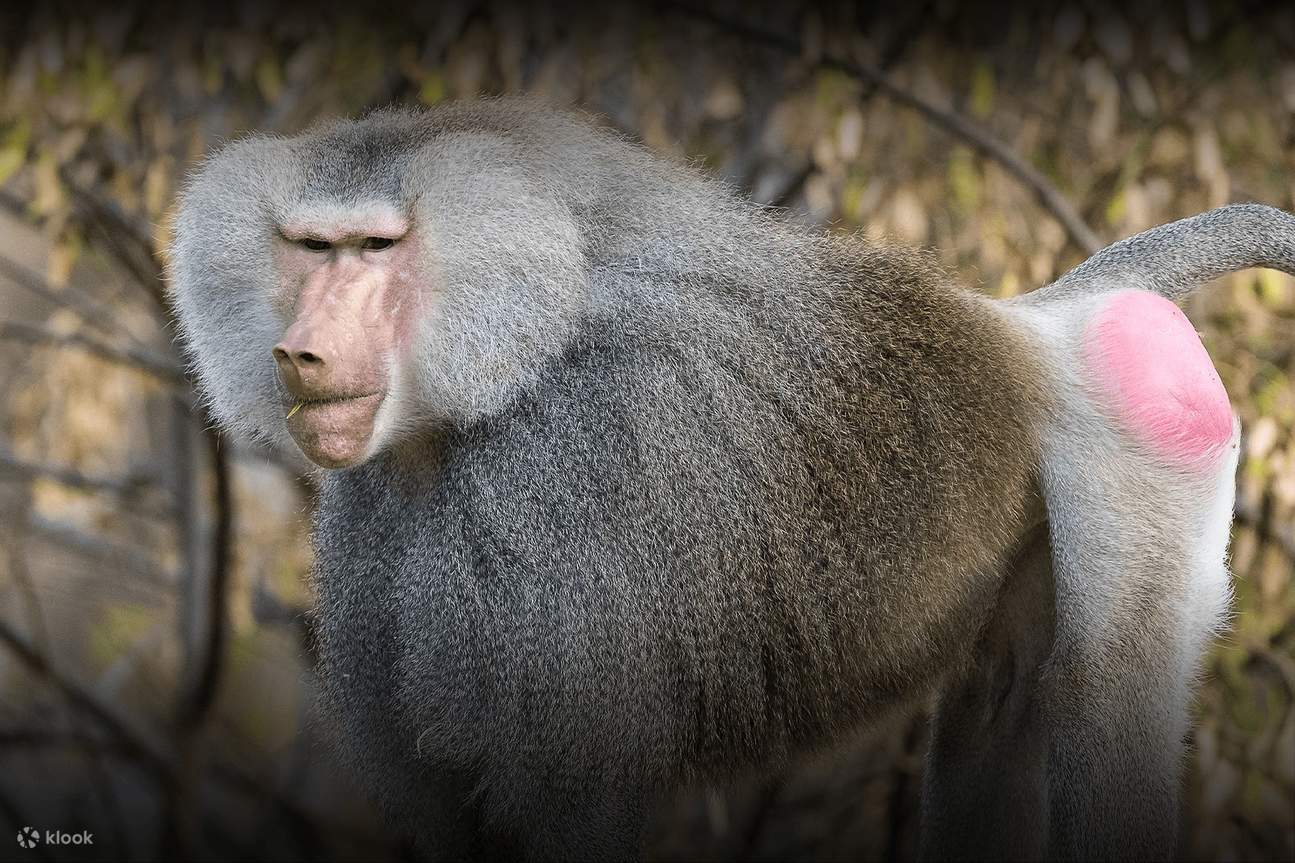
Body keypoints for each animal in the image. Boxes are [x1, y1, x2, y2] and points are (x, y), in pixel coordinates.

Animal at [165, 97, 1295, 861]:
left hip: (1142, 427)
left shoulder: (555, 502)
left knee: (1102, 689)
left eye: (374, 248)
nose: (301, 353)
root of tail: (1038, 319)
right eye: (308, 249)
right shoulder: (372, 531)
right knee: (1000, 703)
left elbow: (572, 805)